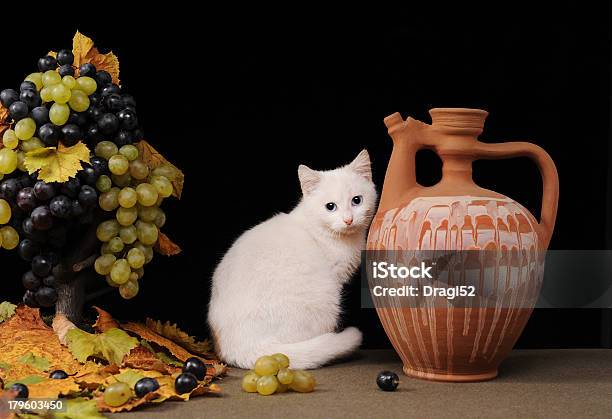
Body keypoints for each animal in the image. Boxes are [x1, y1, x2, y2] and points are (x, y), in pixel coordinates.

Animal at [208, 152, 376, 370]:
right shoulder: (336, 276)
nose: (348, 219)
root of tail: (240, 346)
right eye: (330, 207)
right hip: (325, 299)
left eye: (357, 200)